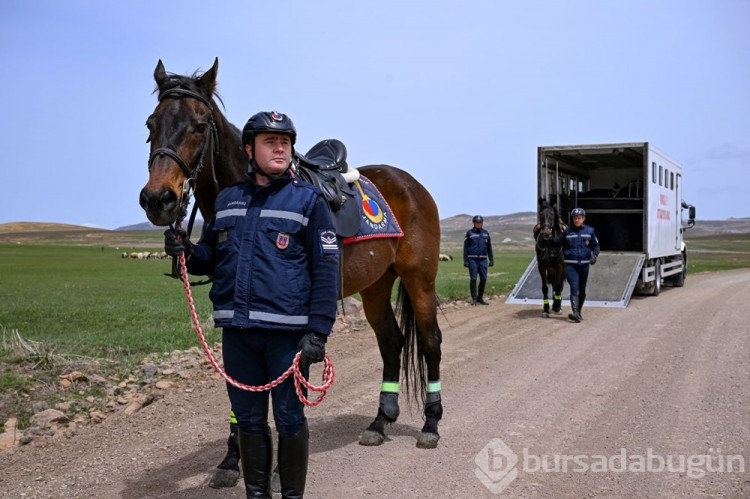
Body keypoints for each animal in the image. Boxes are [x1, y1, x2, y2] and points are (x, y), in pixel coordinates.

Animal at [138, 59, 444, 472]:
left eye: (200, 125)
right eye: (150, 124)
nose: (158, 199)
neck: (257, 195)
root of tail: (411, 184)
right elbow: (240, 383)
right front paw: (232, 458)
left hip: (419, 280)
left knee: (430, 343)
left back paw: (430, 424)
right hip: (376, 287)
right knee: (392, 343)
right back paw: (380, 421)